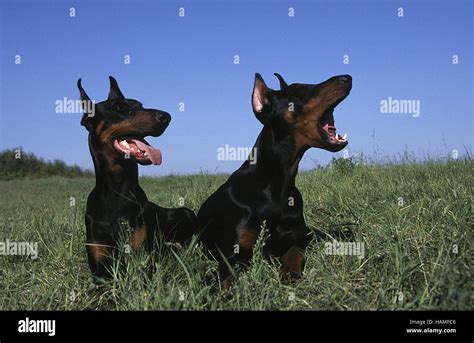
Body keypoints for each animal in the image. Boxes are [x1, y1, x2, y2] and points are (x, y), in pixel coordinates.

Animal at [78, 76, 196, 278]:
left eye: (141, 105)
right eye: (118, 108)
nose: (166, 117)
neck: (117, 192)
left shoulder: (139, 256)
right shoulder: (99, 266)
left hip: (185, 213)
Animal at [196, 72, 352, 290]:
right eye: (300, 90)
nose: (347, 77)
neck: (276, 185)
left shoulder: (299, 237)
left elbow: (294, 252)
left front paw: (289, 273)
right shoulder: (235, 253)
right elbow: (226, 275)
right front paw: (225, 291)